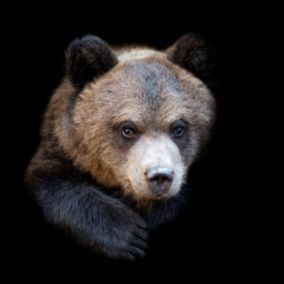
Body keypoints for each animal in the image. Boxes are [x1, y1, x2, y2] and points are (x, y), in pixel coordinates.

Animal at [25, 33, 216, 260]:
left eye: (178, 128)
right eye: (128, 129)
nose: (160, 176)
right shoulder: (64, 147)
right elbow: (51, 182)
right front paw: (128, 235)